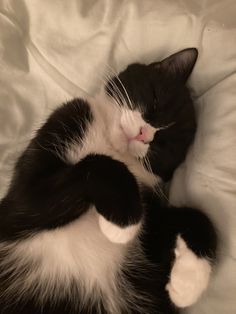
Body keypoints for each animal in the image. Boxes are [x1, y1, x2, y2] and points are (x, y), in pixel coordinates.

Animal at [0, 47, 218, 312]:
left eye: (166, 144)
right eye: (155, 100)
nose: (144, 134)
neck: (110, 144)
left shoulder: (150, 225)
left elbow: (197, 216)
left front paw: (188, 282)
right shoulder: (17, 208)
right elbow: (98, 164)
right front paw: (123, 222)